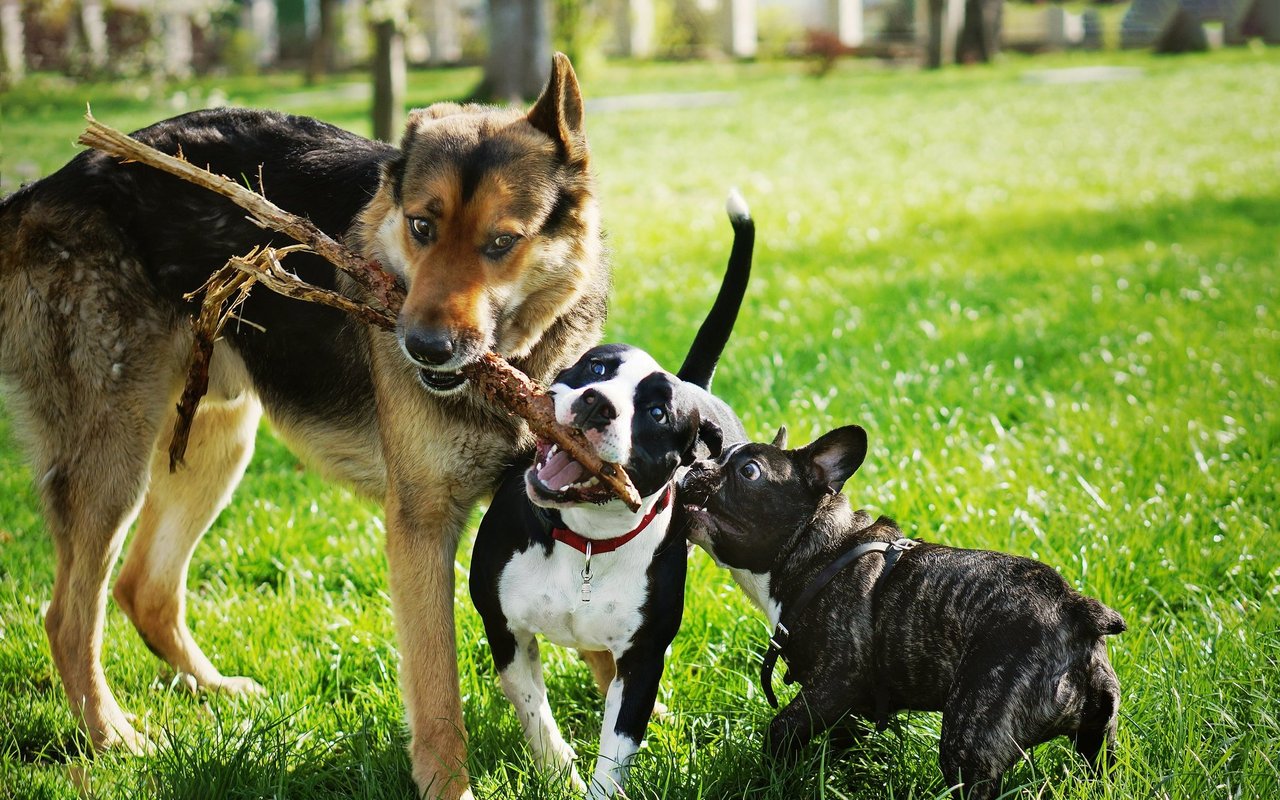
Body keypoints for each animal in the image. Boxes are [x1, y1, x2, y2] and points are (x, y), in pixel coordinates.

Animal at [0, 53, 604, 793]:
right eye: (421, 228)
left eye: (501, 243)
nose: (423, 349)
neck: (516, 367)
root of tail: (44, 188)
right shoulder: (420, 529)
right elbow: (438, 694)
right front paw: (450, 788)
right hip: (116, 460)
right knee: (68, 616)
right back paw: (114, 736)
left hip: (215, 442)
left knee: (145, 587)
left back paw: (213, 692)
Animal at [468, 192, 747, 793]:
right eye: (596, 366)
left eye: (657, 413)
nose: (598, 403)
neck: (586, 542)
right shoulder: (506, 632)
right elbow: (535, 713)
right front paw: (559, 776)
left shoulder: (643, 661)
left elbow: (616, 749)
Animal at [680, 427, 1121, 793]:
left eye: (749, 471)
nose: (696, 464)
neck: (819, 551)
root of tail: (1073, 609)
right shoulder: (847, 708)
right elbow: (843, 742)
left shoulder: (835, 683)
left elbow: (781, 729)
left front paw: (770, 778)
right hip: (1100, 735)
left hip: (970, 738)